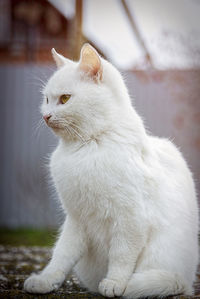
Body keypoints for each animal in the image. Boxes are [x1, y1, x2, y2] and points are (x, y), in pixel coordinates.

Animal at [24, 43, 199, 298]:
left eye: (65, 98)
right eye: (46, 99)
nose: (45, 116)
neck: (87, 147)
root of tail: (187, 279)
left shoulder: (130, 219)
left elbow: (122, 256)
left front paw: (115, 283)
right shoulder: (76, 219)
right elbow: (61, 255)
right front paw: (46, 281)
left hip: (164, 262)